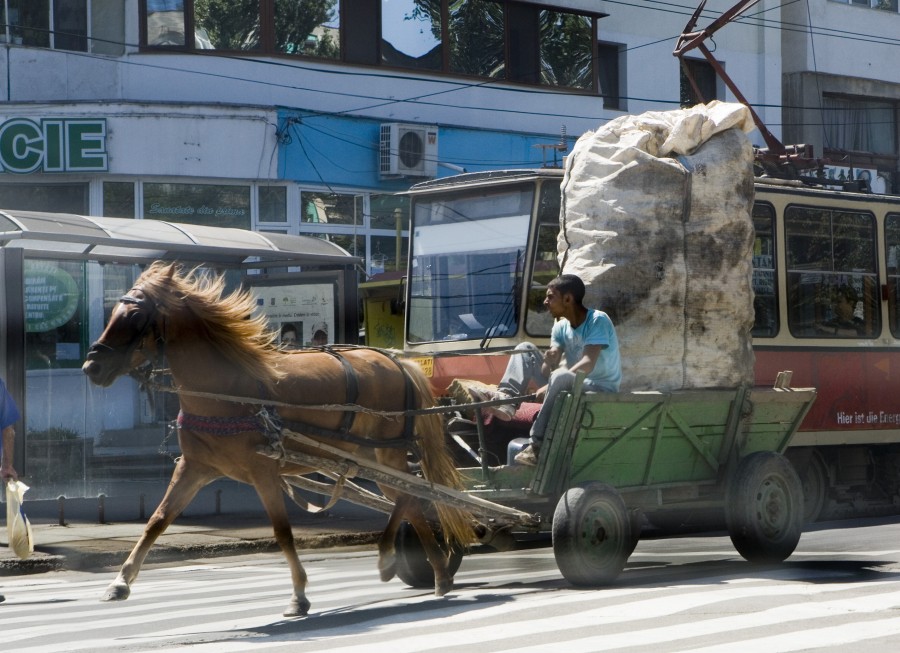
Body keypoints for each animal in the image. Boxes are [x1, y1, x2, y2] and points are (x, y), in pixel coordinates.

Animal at [83, 262, 474, 616]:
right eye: (113, 311)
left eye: (135, 315)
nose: (91, 367)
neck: (226, 390)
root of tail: (397, 362)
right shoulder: (195, 467)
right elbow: (158, 520)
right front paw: (120, 582)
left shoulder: (264, 472)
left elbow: (283, 531)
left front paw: (298, 595)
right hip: (370, 459)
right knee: (410, 500)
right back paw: (438, 574)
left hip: (385, 454)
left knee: (410, 495)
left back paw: (391, 557)